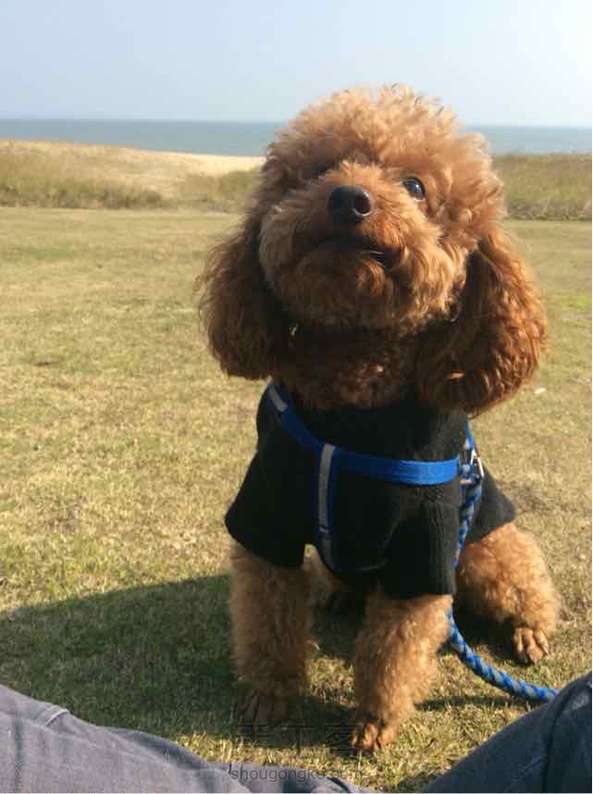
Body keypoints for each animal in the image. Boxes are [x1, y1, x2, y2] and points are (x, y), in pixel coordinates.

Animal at [201, 85, 561, 752]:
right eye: (320, 170)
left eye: (415, 186)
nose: (349, 198)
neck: (354, 401)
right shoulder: (268, 511)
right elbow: (268, 615)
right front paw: (269, 693)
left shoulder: (425, 545)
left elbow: (394, 648)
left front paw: (373, 719)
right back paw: (337, 593)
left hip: (488, 551)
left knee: (527, 588)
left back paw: (529, 632)